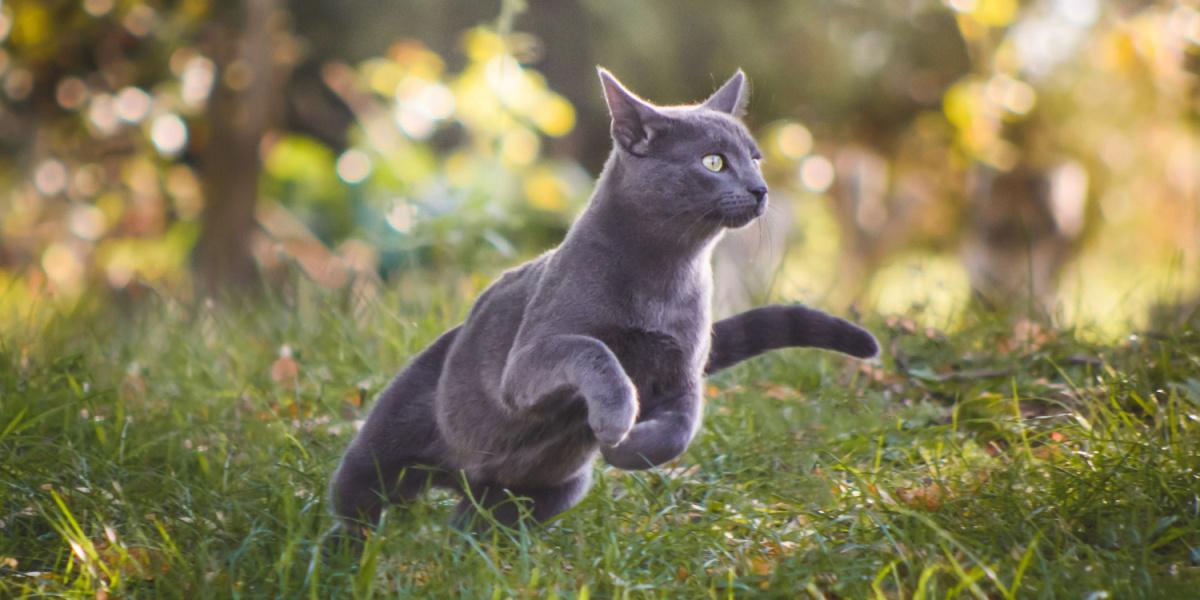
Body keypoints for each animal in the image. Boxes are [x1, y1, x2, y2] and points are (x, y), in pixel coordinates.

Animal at [331, 68, 883, 537]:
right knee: (359, 495)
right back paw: (348, 550)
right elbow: (591, 349)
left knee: (478, 526)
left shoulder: (682, 374)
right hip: (388, 444)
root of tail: (461, 476)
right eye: (714, 161)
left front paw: (628, 450)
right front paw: (615, 419)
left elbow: (682, 429)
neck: (664, 275)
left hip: (540, 492)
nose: (760, 188)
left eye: (756, 157)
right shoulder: (528, 362)